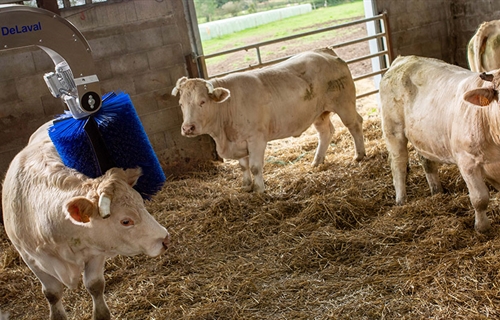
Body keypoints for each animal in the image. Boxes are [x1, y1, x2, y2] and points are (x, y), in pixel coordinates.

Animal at [1, 121, 172, 318]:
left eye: (141, 204)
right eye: (125, 221)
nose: (165, 239)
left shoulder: (96, 250)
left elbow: (95, 285)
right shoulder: (30, 258)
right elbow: (52, 293)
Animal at [171, 47, 364, 192]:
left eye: (202, 102)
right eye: (181, 104)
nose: (187, 128)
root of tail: (324, 51)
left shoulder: (256, 139)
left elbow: (255, 166)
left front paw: (259, 190)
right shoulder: (239, 141)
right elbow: (243, 166)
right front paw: (246, 186)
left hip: (344, 103)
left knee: (355, 124)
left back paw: (359, 155)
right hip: (319, 113)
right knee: (326, 132)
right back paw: (317, 161)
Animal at [378, 56, 500, 234]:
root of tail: (404, 59)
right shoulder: (467, 163)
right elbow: (480, 198)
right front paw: (482, 228)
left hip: (423, 135)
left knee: (426, 161)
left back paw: (437, 191)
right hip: (393, 130)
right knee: (398, 164)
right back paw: (401, 200)